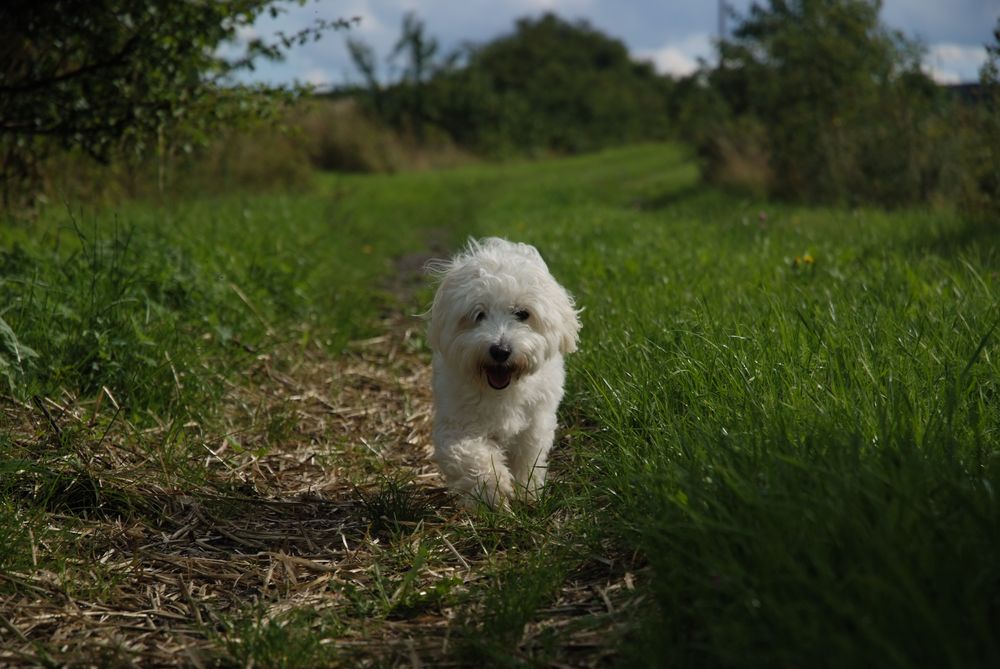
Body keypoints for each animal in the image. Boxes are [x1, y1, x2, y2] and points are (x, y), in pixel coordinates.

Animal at [426, 239, 584, 506]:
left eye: (522, 313)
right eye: (478, 314)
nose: (500, 350)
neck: (503, 391)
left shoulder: (535, 423)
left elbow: (528, 458)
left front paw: (528, 492)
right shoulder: (456, 425)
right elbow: (470, 456)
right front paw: (492, 490)